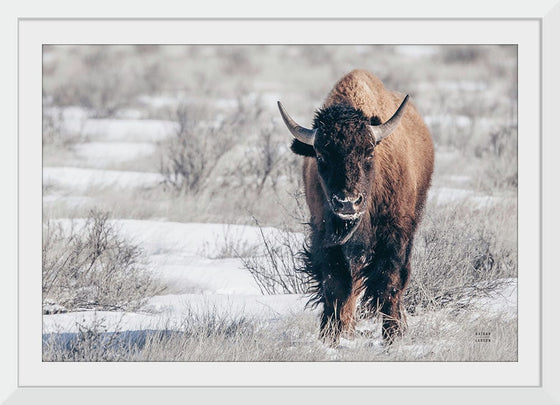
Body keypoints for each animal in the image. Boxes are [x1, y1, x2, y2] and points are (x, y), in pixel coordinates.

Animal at [278, 69, 436, 344]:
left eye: (369, 152)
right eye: (321, 156)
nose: (347, 203)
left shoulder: (395, 235)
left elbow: (389, 282)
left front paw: (392, 336)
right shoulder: (325, 237)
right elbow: (335, 286)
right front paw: (329, 337)